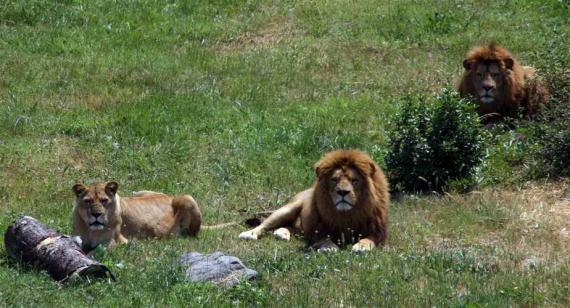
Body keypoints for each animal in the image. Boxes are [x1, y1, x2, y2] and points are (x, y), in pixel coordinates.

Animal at [70, 182, 201, 251]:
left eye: (104, 200)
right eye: (88, 201)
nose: (96, 214)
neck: (91, 231)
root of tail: (169, 197)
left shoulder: (113, 243)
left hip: (188, 198)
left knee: (192, 235)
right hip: (137, 192)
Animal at [237, 150, 388, 253]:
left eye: (354, 180)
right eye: (334, 179)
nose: (343, 192)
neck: (347, 214)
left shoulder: (378, 232)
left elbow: (370, 238)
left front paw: (362, 245)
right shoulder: (318, 229)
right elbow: (324, 238)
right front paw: (329, 247)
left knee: (292, 228)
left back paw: (282, 233)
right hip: (288, 208)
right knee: (265, 225)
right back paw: (249, 234)